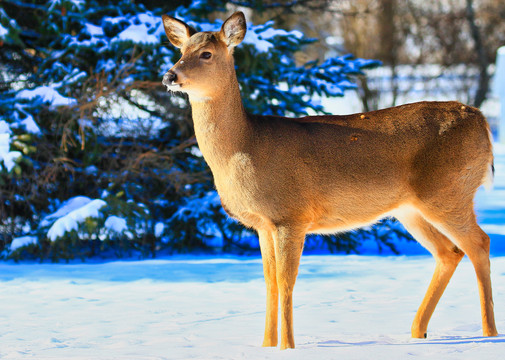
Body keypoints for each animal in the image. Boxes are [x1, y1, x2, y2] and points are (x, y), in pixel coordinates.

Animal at [160, 11, 496, 348]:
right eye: (181, 51)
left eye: (206, 54)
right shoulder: (263, 224)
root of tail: (482, 121)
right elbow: (269, 282)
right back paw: (418, 332)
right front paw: (266, 346)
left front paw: (288, 346)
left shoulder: (291, 215)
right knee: (449, 252)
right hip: (410, 209)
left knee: (479, 243)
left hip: (449, 191)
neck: (244, 147)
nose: (169, 76)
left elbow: (286, 281)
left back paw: (489, 333)